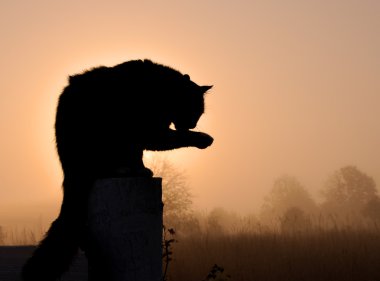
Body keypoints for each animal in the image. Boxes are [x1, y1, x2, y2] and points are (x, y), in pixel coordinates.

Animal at [22, 58, 214, 278]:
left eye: (199, 113)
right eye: (194, 110)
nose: (193, 124)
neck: (160, 91)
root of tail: (69, 171)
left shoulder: (142, 139)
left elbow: (141, 154)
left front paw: (142, 168)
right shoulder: (150, 131)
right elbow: (177, 137)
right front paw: (202, 138)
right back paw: (123, 170)